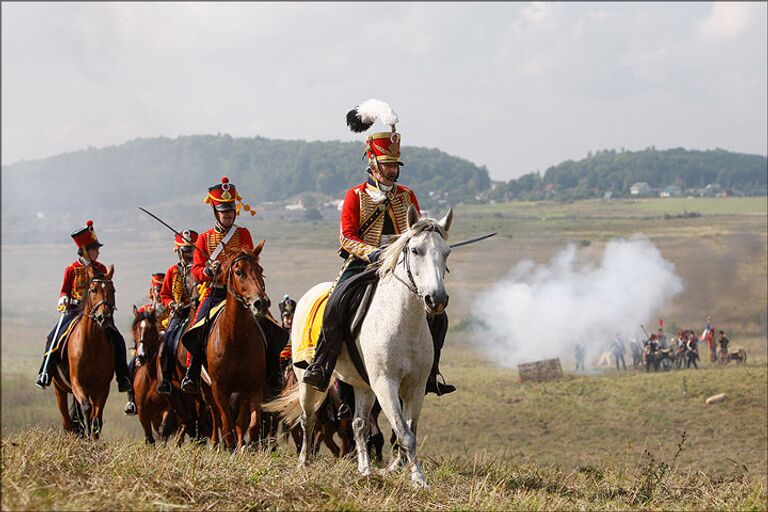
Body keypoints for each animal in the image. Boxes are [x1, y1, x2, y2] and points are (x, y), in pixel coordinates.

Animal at [52, 266, 116, 438]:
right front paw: (86, 434)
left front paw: (93, 436)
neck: (92, 344)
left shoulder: (102, 387)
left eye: (113, 290)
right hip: (59, 389)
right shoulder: (76, 382)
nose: (104, 318)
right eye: (93, 290)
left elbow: (97, 418)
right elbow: (86, 408)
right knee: (67, 422)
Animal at [130, 306, 177, 446]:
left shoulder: (169, 409)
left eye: (151, 329)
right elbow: (149, 438)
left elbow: (164, 431)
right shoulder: (143, 412)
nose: (141, 356)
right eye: (135, 328)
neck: (151, 377)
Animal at [204, 246, 270, 450]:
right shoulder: (218, 387)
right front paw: (231, 445)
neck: (236, 339)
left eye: (260, 270)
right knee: (215, 416)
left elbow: (251, 423)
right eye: (239, 272)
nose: (261, 303)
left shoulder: (253, 385)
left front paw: (245, 446)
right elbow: (226, 423)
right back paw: (216, 444)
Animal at [268, 206, 452, 486]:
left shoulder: (416, 386)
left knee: (358, 423)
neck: (403, 320)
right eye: (415, 250)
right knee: (308, 418)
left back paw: (365, 469)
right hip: (305, 379)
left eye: (446, 252)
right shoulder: (385, 383)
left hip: (362, 385)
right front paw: (419, 480)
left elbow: (408, 430)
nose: (436, 299)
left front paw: (406, 473)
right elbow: (404, 432)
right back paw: (304, 463)